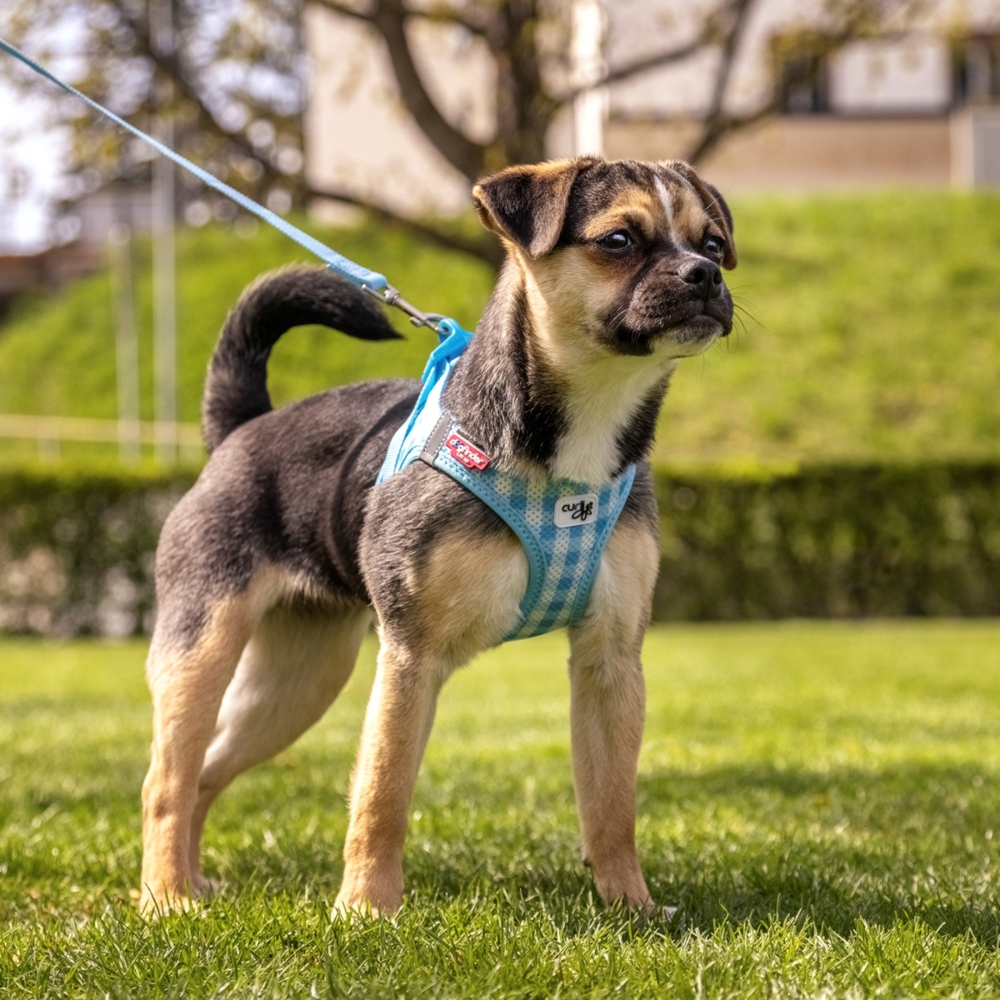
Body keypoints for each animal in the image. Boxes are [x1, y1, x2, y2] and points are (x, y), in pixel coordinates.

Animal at [139, 156, 736, 916]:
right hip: (203, 646)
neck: (568, 445)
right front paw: (366, 909)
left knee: (207, 770)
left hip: (296, 682)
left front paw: (630, 905)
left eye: (713, 242)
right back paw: (165, 896)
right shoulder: (411, 655)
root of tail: (242, 429)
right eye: (620, 240)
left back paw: (194, 882)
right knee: (166, 780)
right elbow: (381, 795)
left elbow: (611, 805)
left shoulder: (610, 660)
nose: (705, 274)